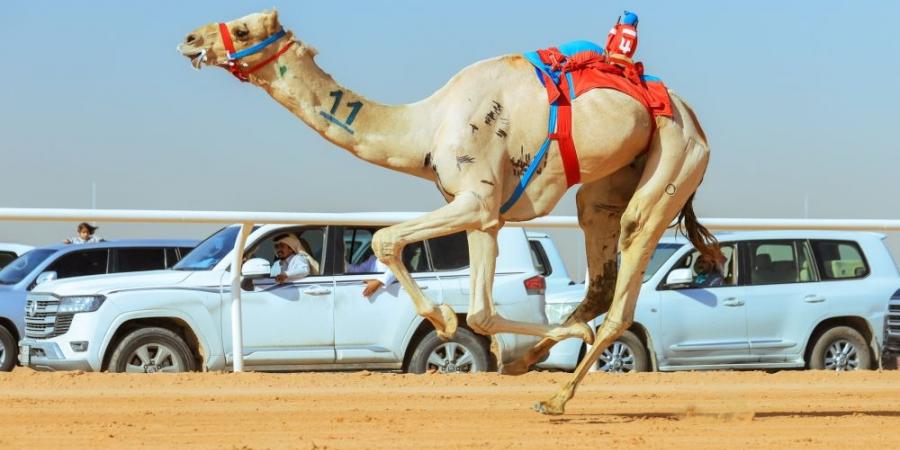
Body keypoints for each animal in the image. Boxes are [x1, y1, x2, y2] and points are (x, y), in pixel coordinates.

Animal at [179, 9, 720, 414]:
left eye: (243, 29)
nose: (188, 38)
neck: (427, 126)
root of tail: (694, 119)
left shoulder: (475, 198)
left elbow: (385, 241)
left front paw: (441, 319)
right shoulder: (482, 214)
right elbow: (479, 312)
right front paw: (522, 339)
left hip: (674, 160)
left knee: (628, 270)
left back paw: (558, 398)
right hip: (611, 179)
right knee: (598, 254)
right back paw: (533, 359)